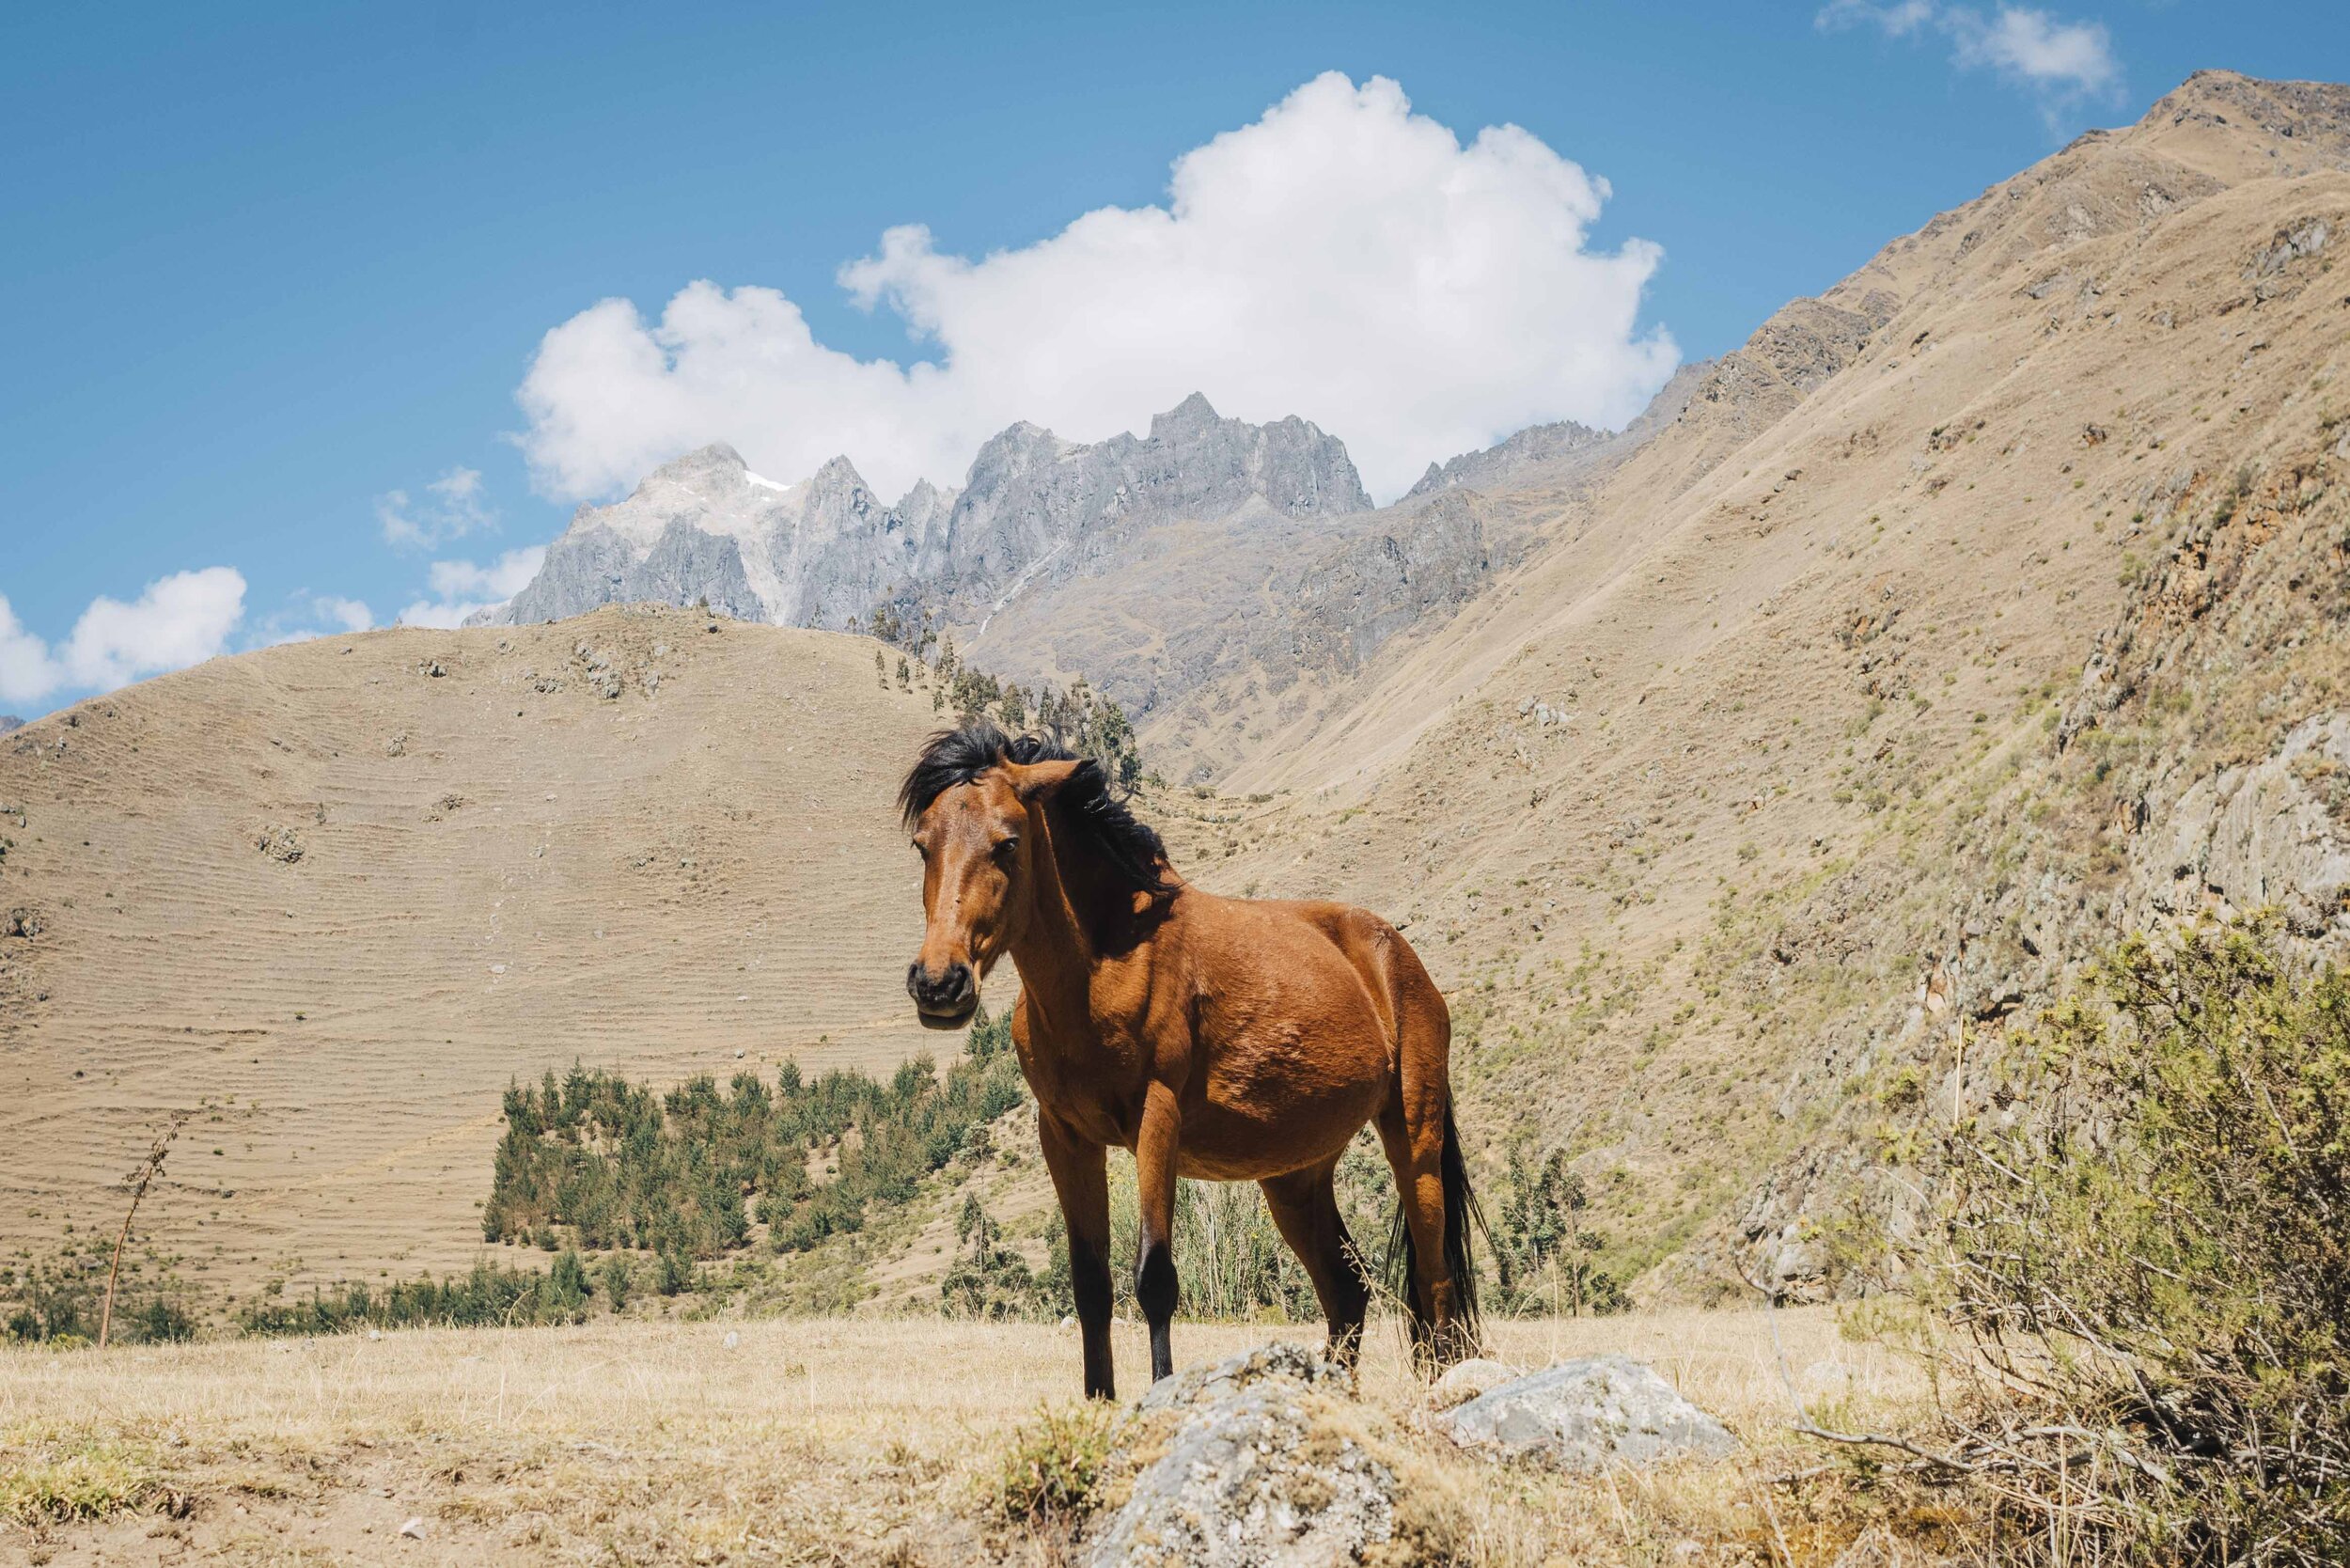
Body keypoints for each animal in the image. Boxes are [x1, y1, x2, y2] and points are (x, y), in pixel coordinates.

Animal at [902, 724, 1476, 1401]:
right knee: (1347, 1291)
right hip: (1296, 1177)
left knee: (1435, 1280)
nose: (939, 984)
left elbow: (1154, 1277)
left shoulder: (1157, 1121)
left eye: (1007, 843)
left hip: (1414, 1141)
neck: (1108, 964)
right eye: (922, 845)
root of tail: (1395, 953)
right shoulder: (1065, 1137)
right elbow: (1091, 1285)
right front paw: (1099, 1404)